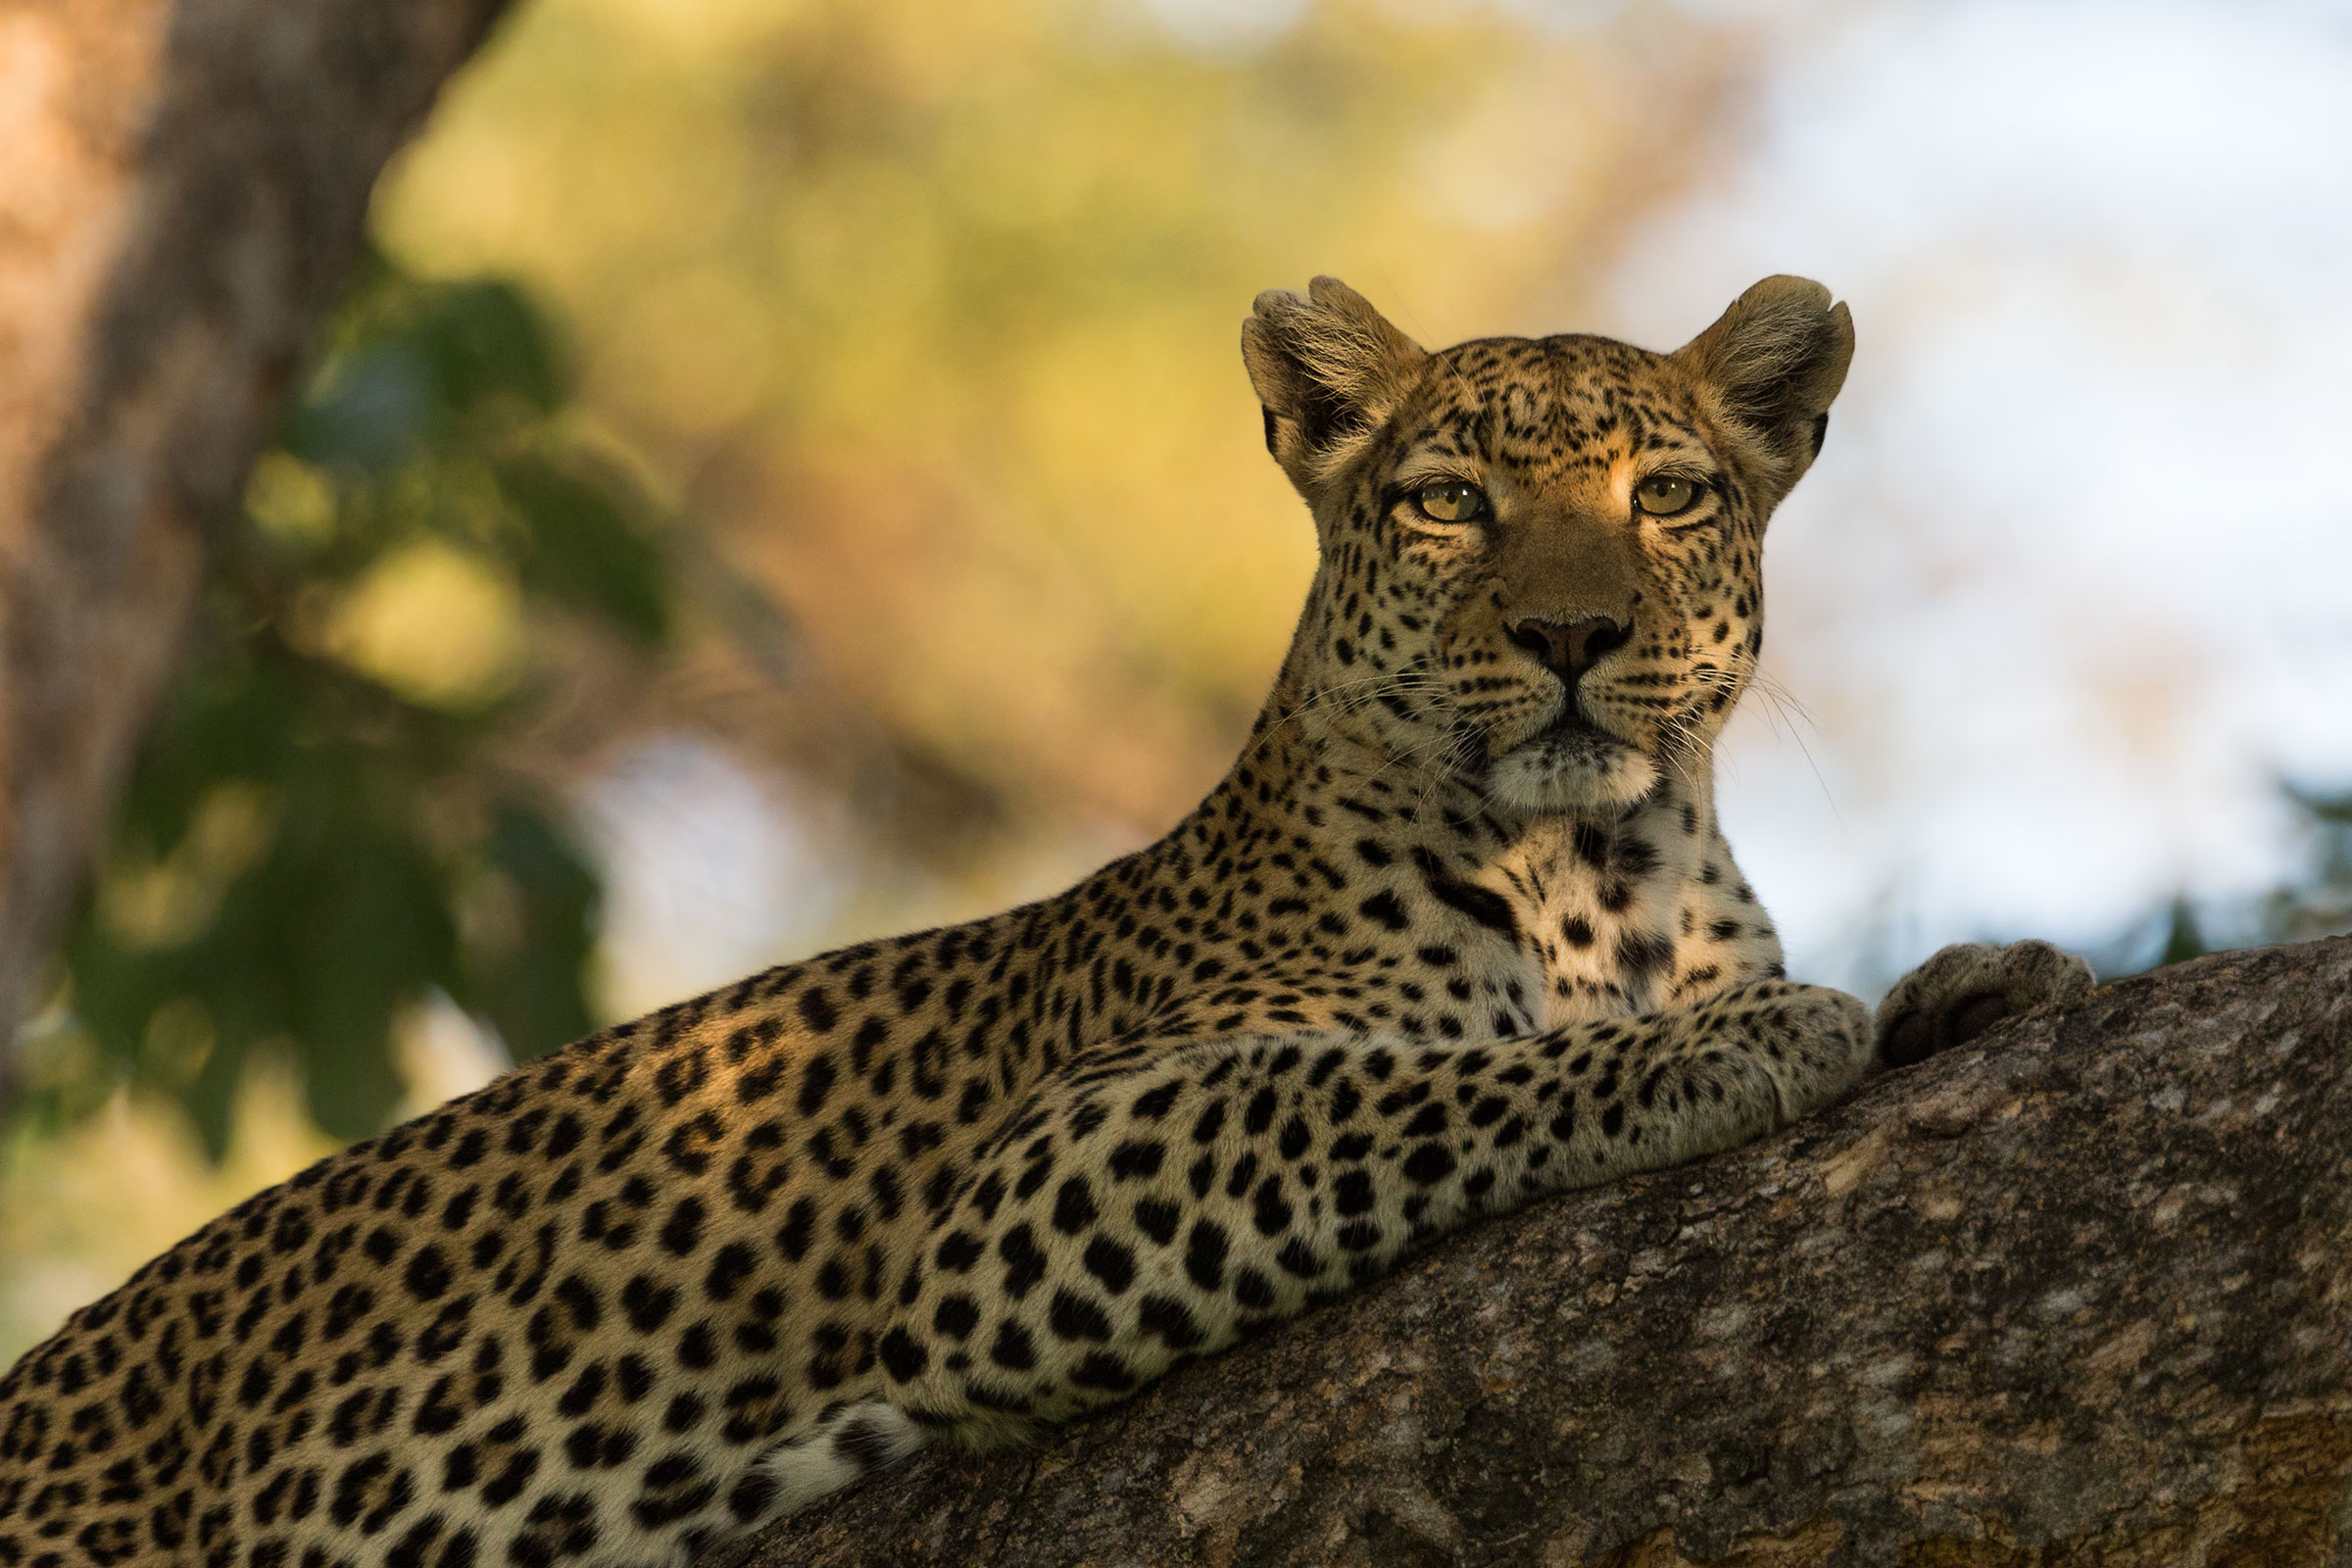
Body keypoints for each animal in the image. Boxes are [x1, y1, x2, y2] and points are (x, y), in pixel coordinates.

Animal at [0, 275, 2094, 1568]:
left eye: (1667, 495)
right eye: (1444, 501)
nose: (1572, 634)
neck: (1614, 872)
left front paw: (1978, 980)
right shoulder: (1050, 1173)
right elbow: (1425, 1082)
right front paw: (1736, 1041)